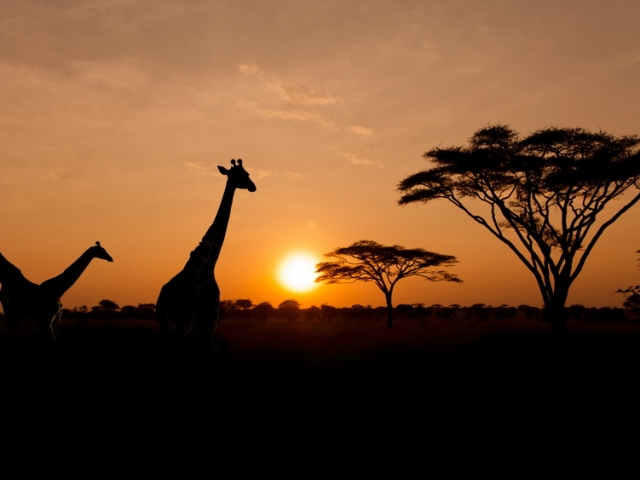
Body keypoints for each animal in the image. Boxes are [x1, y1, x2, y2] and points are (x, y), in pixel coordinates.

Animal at [156, 159, 256, 350]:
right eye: (240, 175)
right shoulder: (196, 322)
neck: (207, 265)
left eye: (247, 173)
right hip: (167, 322)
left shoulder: (210, 322)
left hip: (180, 326)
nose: (253, 186)